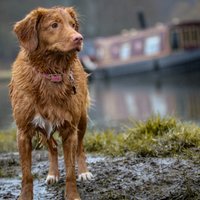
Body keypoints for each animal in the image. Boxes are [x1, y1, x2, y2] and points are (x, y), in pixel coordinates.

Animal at [9, 6, 93, 200]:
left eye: (72, 25)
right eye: (54, 25)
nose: (79, 38)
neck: (50, 73)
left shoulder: (70, 129)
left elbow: (70, 171)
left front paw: (72, 195)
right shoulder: (23, 132)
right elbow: (26, 175)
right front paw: (25, 196)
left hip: (82, 120)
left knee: (80, 148)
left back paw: (84, 172)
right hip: (44, 128)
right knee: (53, 147)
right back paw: (53, 174)